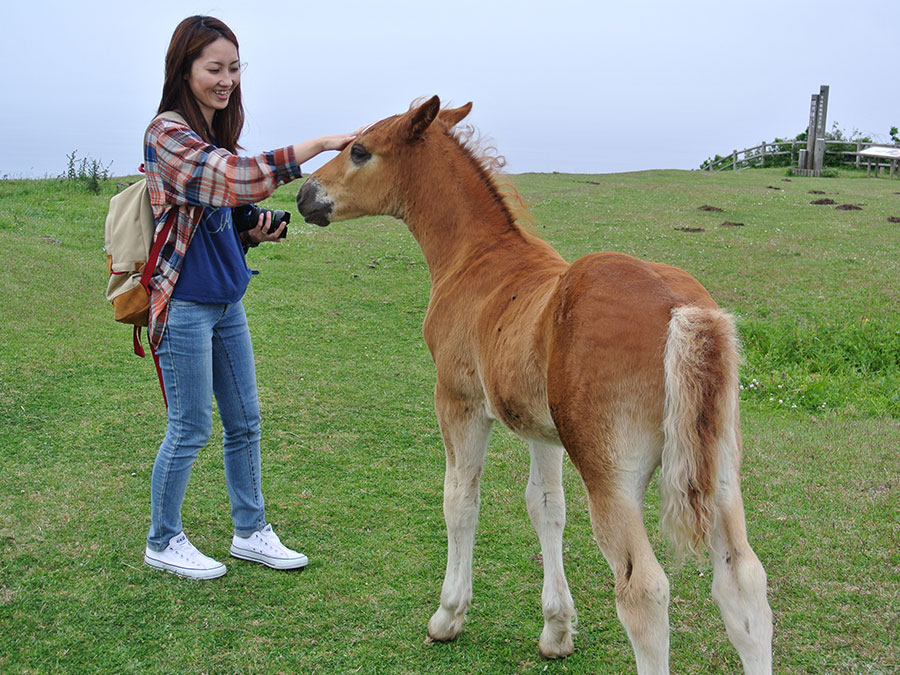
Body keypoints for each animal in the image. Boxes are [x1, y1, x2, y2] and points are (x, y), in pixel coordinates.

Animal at [298, 97, 772, 672]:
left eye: (360, 150)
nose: (303, 195)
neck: (474, 258)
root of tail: (680, 308)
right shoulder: (542, 431)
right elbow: (546, 506)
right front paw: (556, 629)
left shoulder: (458, 402)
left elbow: (460, 499)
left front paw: (448, 615)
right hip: (721, 471)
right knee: (742, 582)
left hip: (612, 474)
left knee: (643, 589)